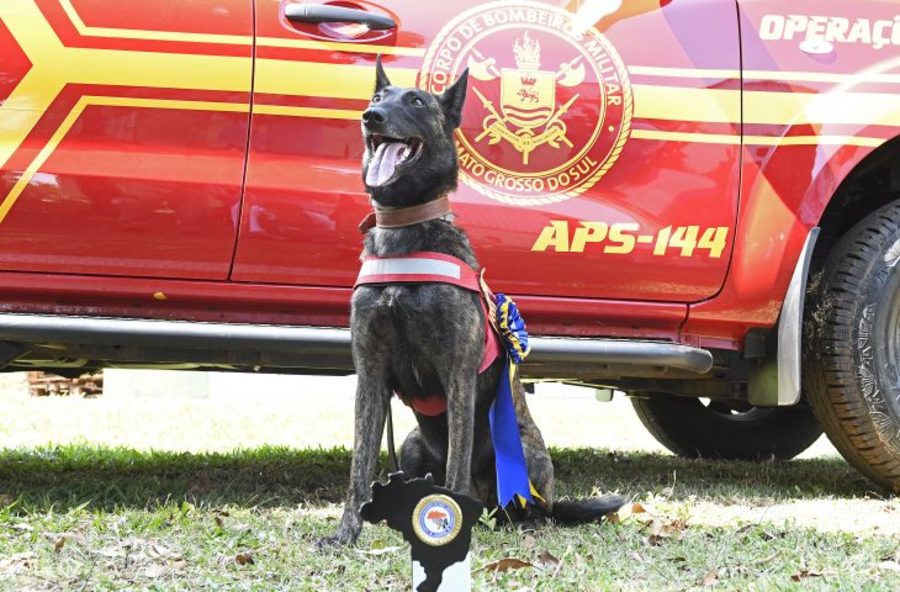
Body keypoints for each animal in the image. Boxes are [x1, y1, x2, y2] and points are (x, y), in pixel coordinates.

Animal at [324, 56, 624, 544]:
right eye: (378, 97)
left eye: (416, 101)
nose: (371, 117)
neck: (406, 232)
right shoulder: (370, 376)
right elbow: (359, 467)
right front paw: (346, 533)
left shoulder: (457, 375)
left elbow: (455, 468)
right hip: (411, 444)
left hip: (525, 453)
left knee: (534, 508)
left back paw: (523, 520)